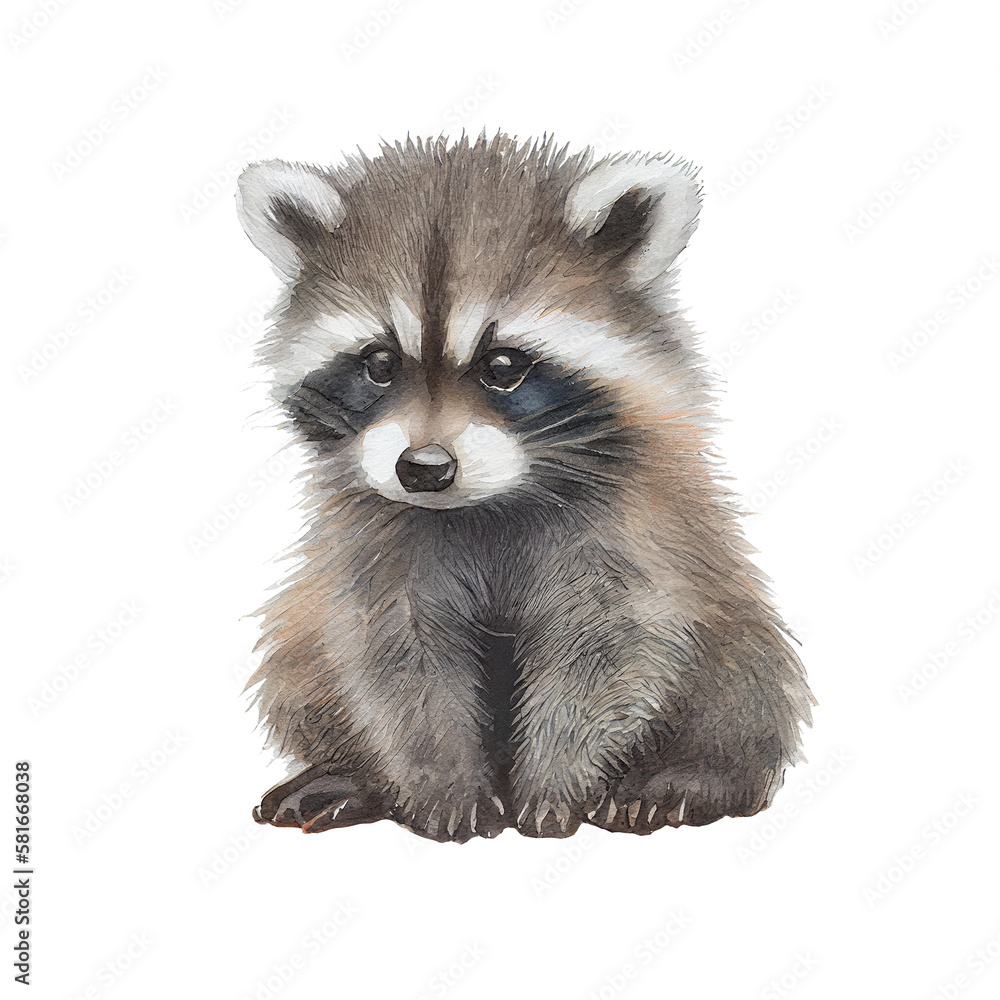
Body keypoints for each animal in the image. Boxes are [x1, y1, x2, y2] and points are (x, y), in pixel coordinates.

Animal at [236, 134, 813, 842]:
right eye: (378, 363)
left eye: (503, 365)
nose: (422, 468)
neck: (483, 502)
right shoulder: (374, 538)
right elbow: (396, 653)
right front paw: (445, 784)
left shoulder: (626, 529)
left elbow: (605, 643)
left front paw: (555, 784)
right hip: (303, 627)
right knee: (299, 654)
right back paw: (350, 773)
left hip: (733, 615)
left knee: (745, 673)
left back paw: (694, 773)